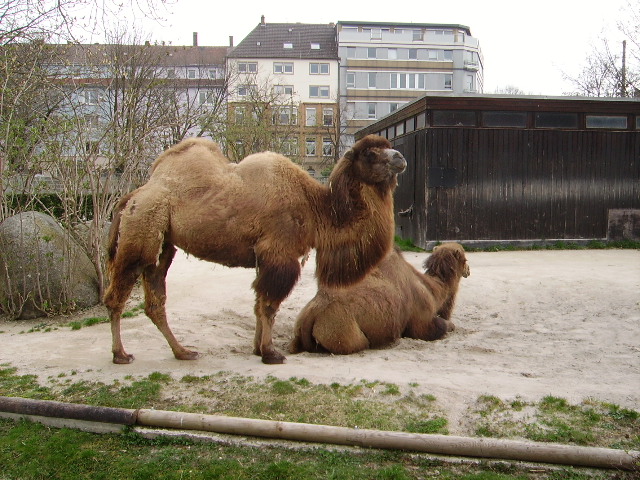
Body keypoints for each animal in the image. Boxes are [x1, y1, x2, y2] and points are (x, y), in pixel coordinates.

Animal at [104, 134, 404, 364]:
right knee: (117, 294)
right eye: (370, 153)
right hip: (141, 229)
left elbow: (258, 304)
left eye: (388, 145)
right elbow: (269, 305)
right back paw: (121, 354)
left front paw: (257, 348)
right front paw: (271, 353)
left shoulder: (265, 257)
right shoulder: (279, 254)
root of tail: (132, 196)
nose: (400, 157)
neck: (315, 208)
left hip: (164, 244)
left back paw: (183, 352)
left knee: (155, 301)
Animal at [290, 242, 470, 354]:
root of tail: (313, 313)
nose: (468, 270)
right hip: (345, 334)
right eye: (465, 259)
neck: (432, 290)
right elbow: (444, 326)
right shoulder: (422, 324)